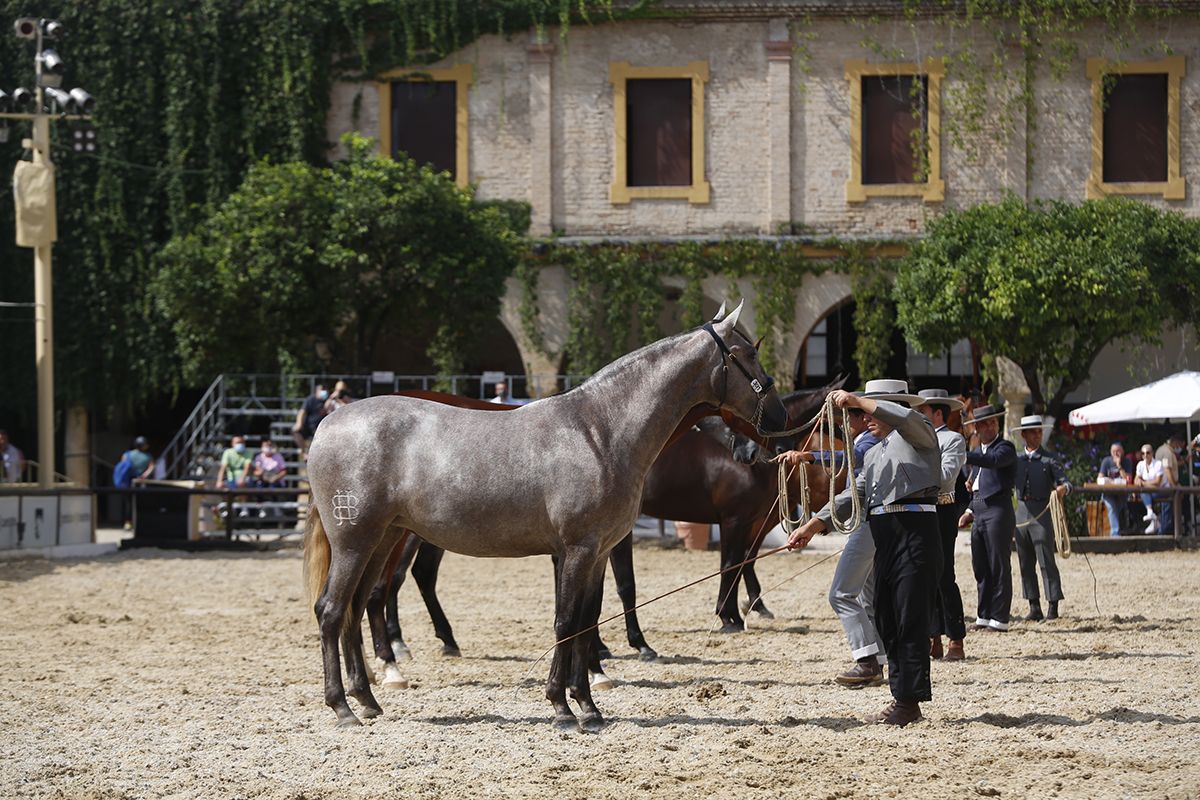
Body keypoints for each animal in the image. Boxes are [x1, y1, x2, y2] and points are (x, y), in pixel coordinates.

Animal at [302, 302, 787, 734]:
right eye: (745, 354)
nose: (778, 417)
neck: (601, 431)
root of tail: (329, 425)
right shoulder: (576, 550)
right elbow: (566, 622)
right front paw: (562, 707)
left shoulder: (597, 552)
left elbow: (587, 623)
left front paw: (589, 706)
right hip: (356, 542)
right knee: (331, 610)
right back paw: (342, 706)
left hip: (382, 540)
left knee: (356, 607)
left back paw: (368, 699)